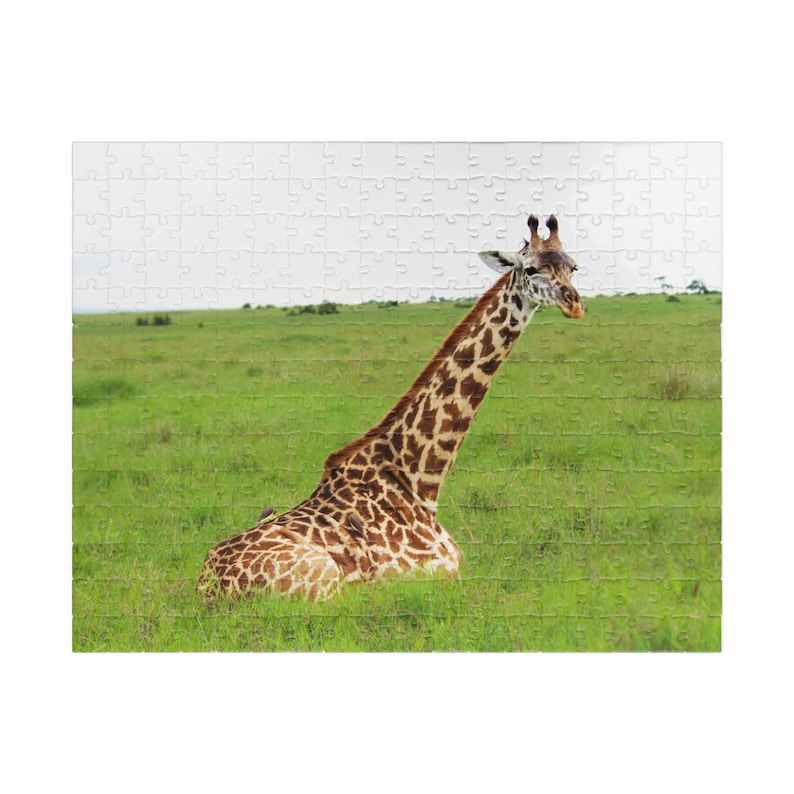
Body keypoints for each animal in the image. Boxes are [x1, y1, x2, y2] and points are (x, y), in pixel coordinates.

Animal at [198, 214, 584, 601]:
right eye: (530, 268)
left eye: (573, 267)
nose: (574, 303)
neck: (417, 479)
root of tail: (207, 587)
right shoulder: (436, 573)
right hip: (324, 580)